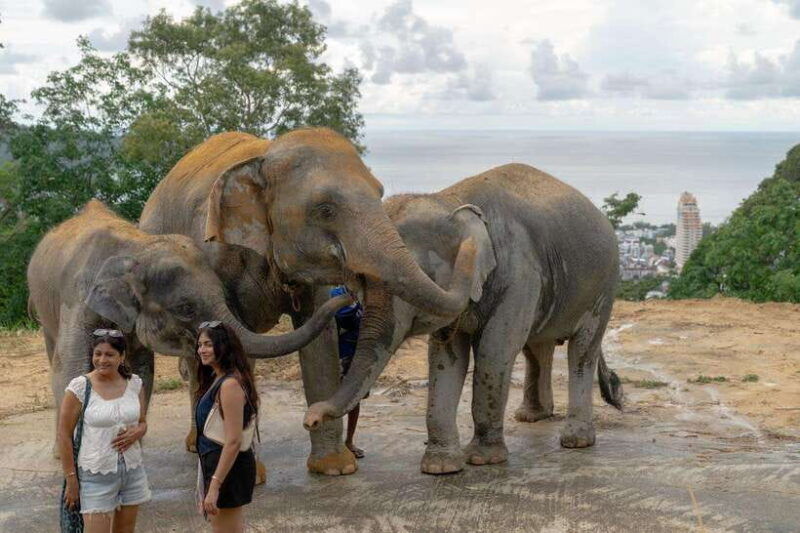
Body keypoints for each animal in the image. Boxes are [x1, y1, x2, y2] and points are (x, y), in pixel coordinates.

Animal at [27, 199, 349, 456]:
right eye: (186, 309)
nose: (347, 295)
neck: (138, 248)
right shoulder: (78, 303)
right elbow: (71, 371)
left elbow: (140, 373)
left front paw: (129, 447)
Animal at [138, 129, 477, 475]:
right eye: (325, 210)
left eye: (380, 193)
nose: (352, 291)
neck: (263, 157)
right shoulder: (215, 257)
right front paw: (250, 473)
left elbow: (320, 342)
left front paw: (335, 468)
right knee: (197, 360)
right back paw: (196, 444)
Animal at [304, 163, 624, 474]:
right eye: (360, 279)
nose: (310, 419)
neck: (450, 201)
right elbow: (445, 357)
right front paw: (440, 467)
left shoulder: (520, 275)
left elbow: (494, 351)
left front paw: (483, 459)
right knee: (537, 347)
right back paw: (532, 416)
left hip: (604, 286)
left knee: (581, 351)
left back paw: (576, 441)